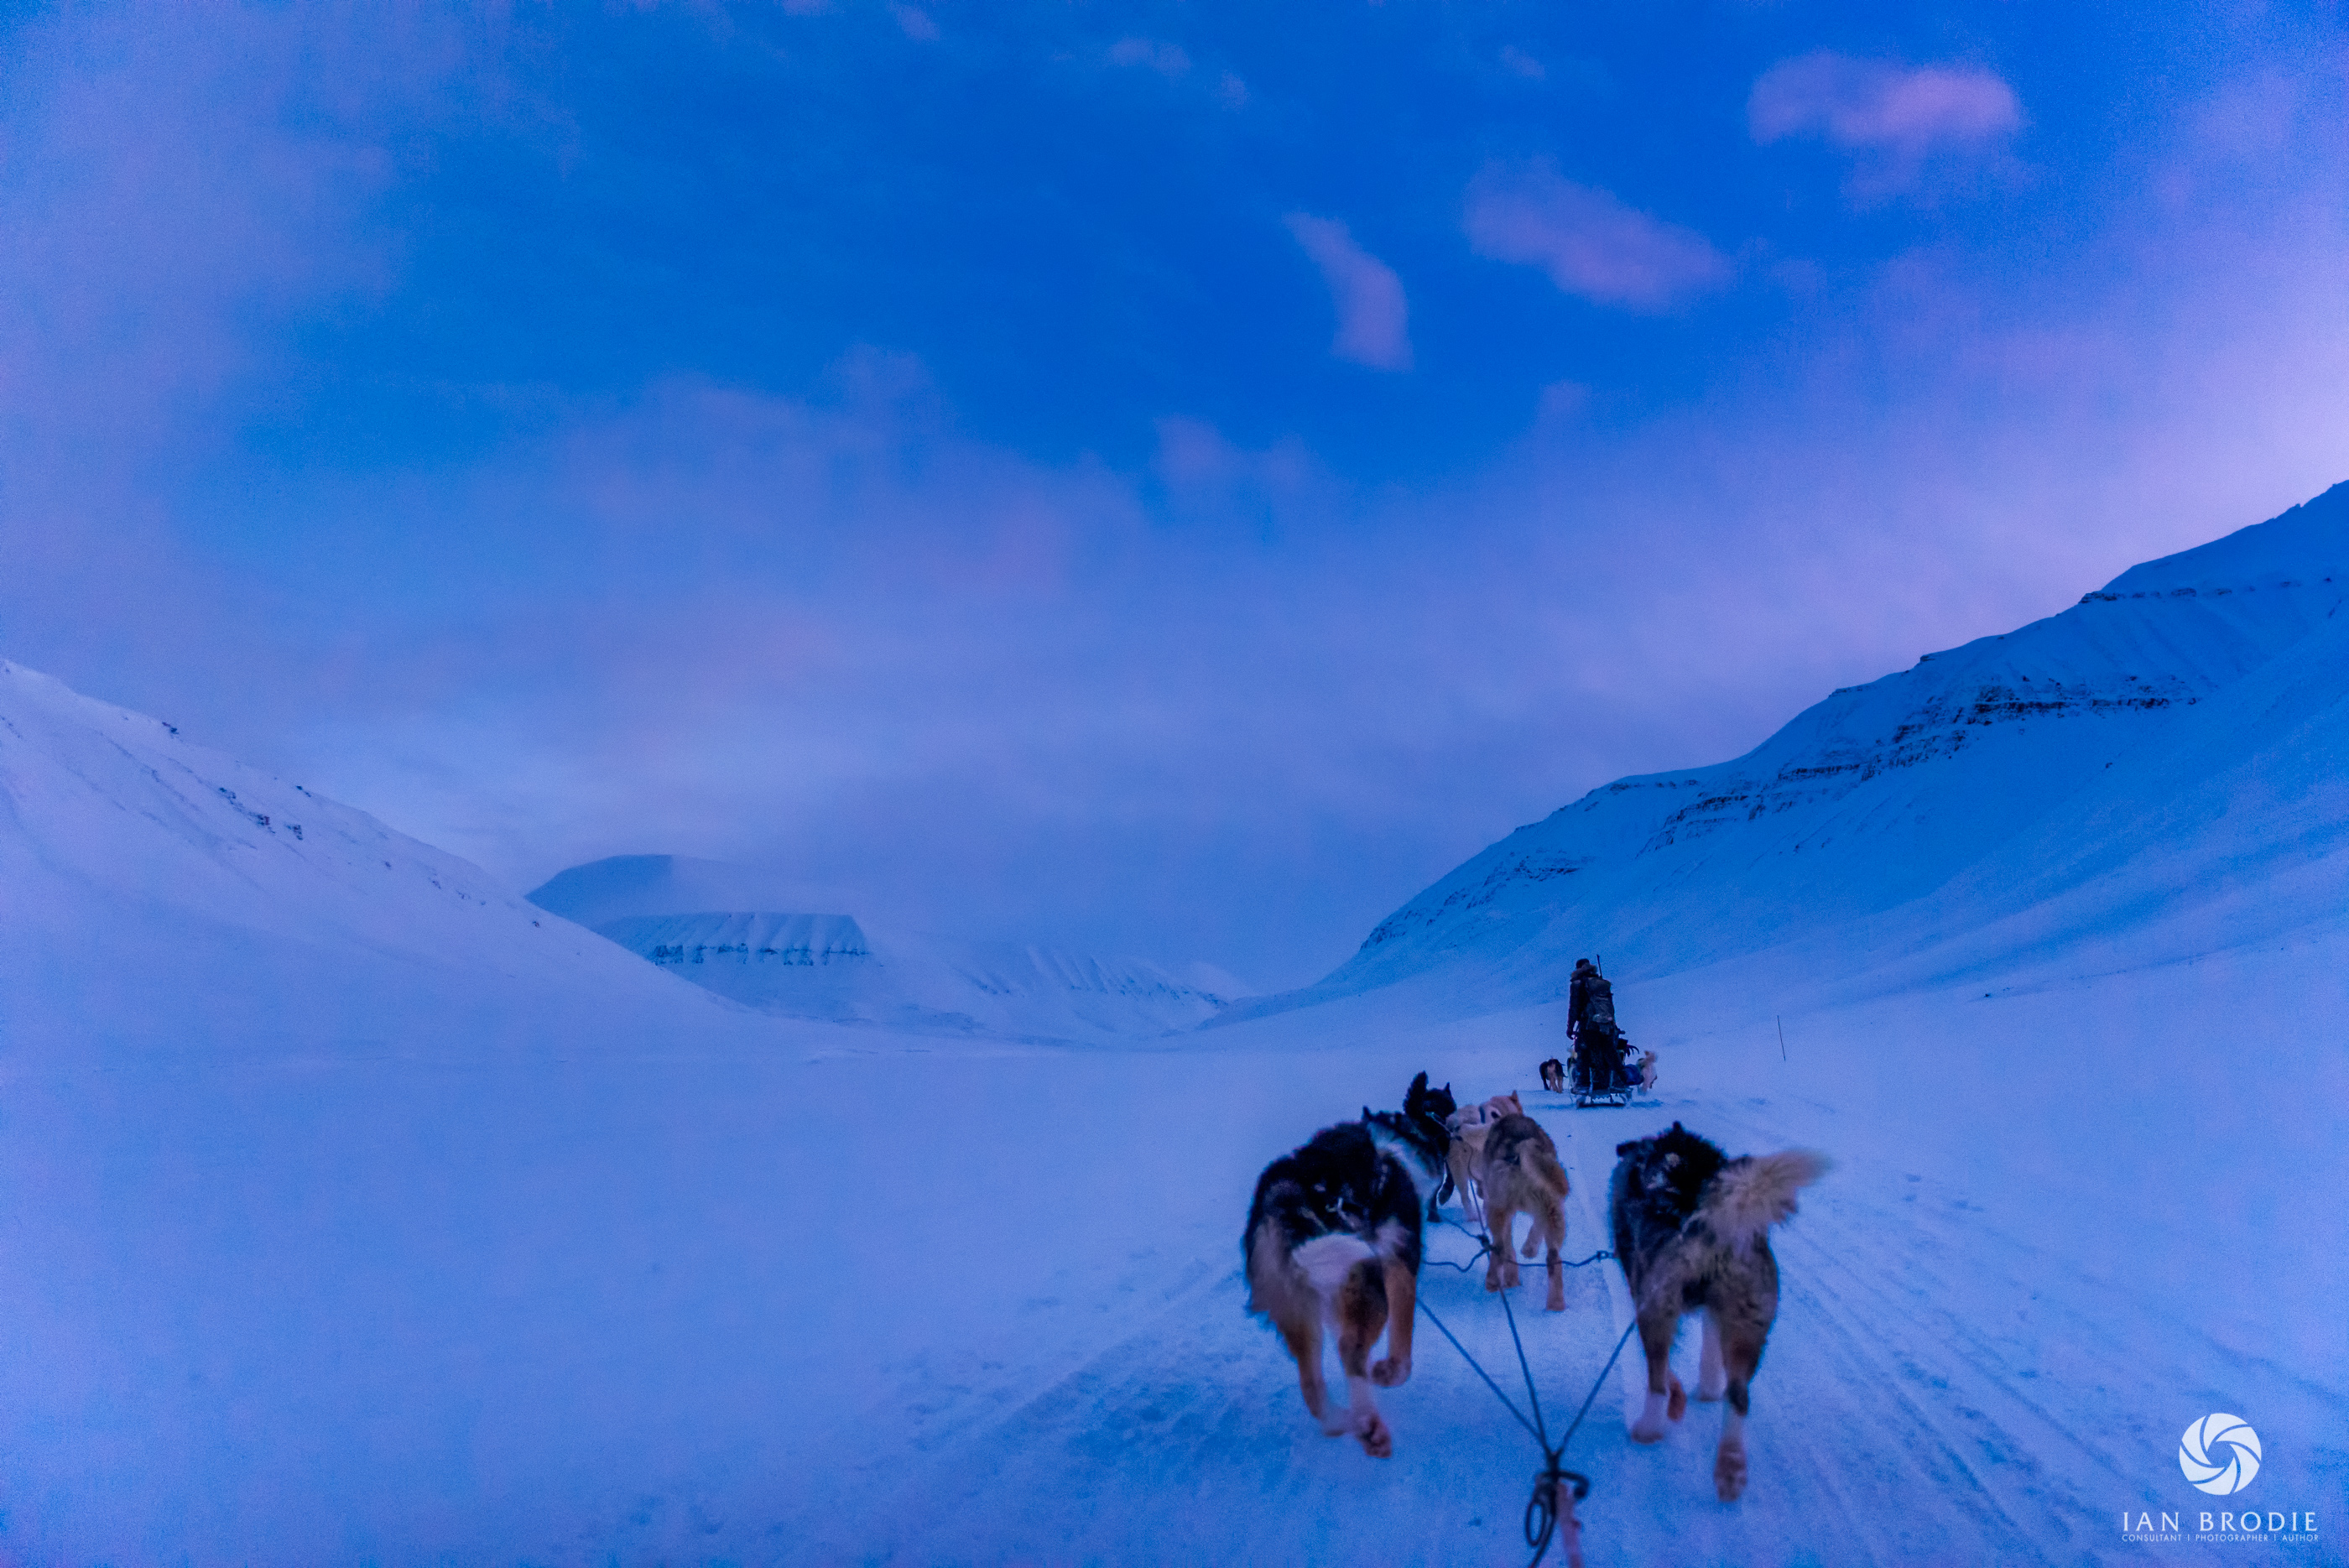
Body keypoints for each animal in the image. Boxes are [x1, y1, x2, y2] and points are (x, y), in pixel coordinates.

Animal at [1249, 1080, 1446, 1455]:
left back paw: (1342, 1421)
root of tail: (1288, 1189)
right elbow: (1402, 1342)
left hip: (1298, 1309)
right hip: (1366, 1285)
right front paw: (1390, 1371)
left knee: (1312, 1387)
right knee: (1350, 1350)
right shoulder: (1399, 1264)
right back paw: (1369, 1425)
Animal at [1475, 1107, 1569, 1314]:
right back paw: (1556, 1305)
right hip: (1553, 1210)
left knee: (1499, 1247)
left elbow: (1509, 1247)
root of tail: (1518, 1153)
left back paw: (1492, 1281)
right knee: (1554, 1259)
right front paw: (1529, 1249)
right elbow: (1535, 1230)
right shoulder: (1544, 1209)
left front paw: (1511, 1278)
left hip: (1497, 1209)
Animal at [1616, 1122, 1832, 1502]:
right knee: (1738, 1398)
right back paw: (1731, 1469)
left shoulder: (1643, 1295)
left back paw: (1649, 1428)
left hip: (1655, 1310)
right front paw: (1707, 1389)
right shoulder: (1714, 1313)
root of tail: (1715, 1220)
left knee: (1657, 1380)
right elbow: (1710, 1352)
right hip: (1748, 1323)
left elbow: (1670, 1373)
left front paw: (1681, 1399)